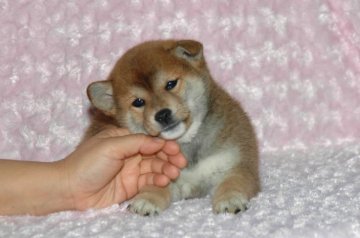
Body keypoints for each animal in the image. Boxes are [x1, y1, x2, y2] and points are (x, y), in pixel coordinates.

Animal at [86, 39, 260, 216]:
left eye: (171, 84)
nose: (162, 115)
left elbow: (234, 181)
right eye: (138, 102)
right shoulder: (162, 174)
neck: (187, 145)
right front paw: (147, 199)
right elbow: (156, 185)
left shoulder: (238, 165)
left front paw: (229, 199)